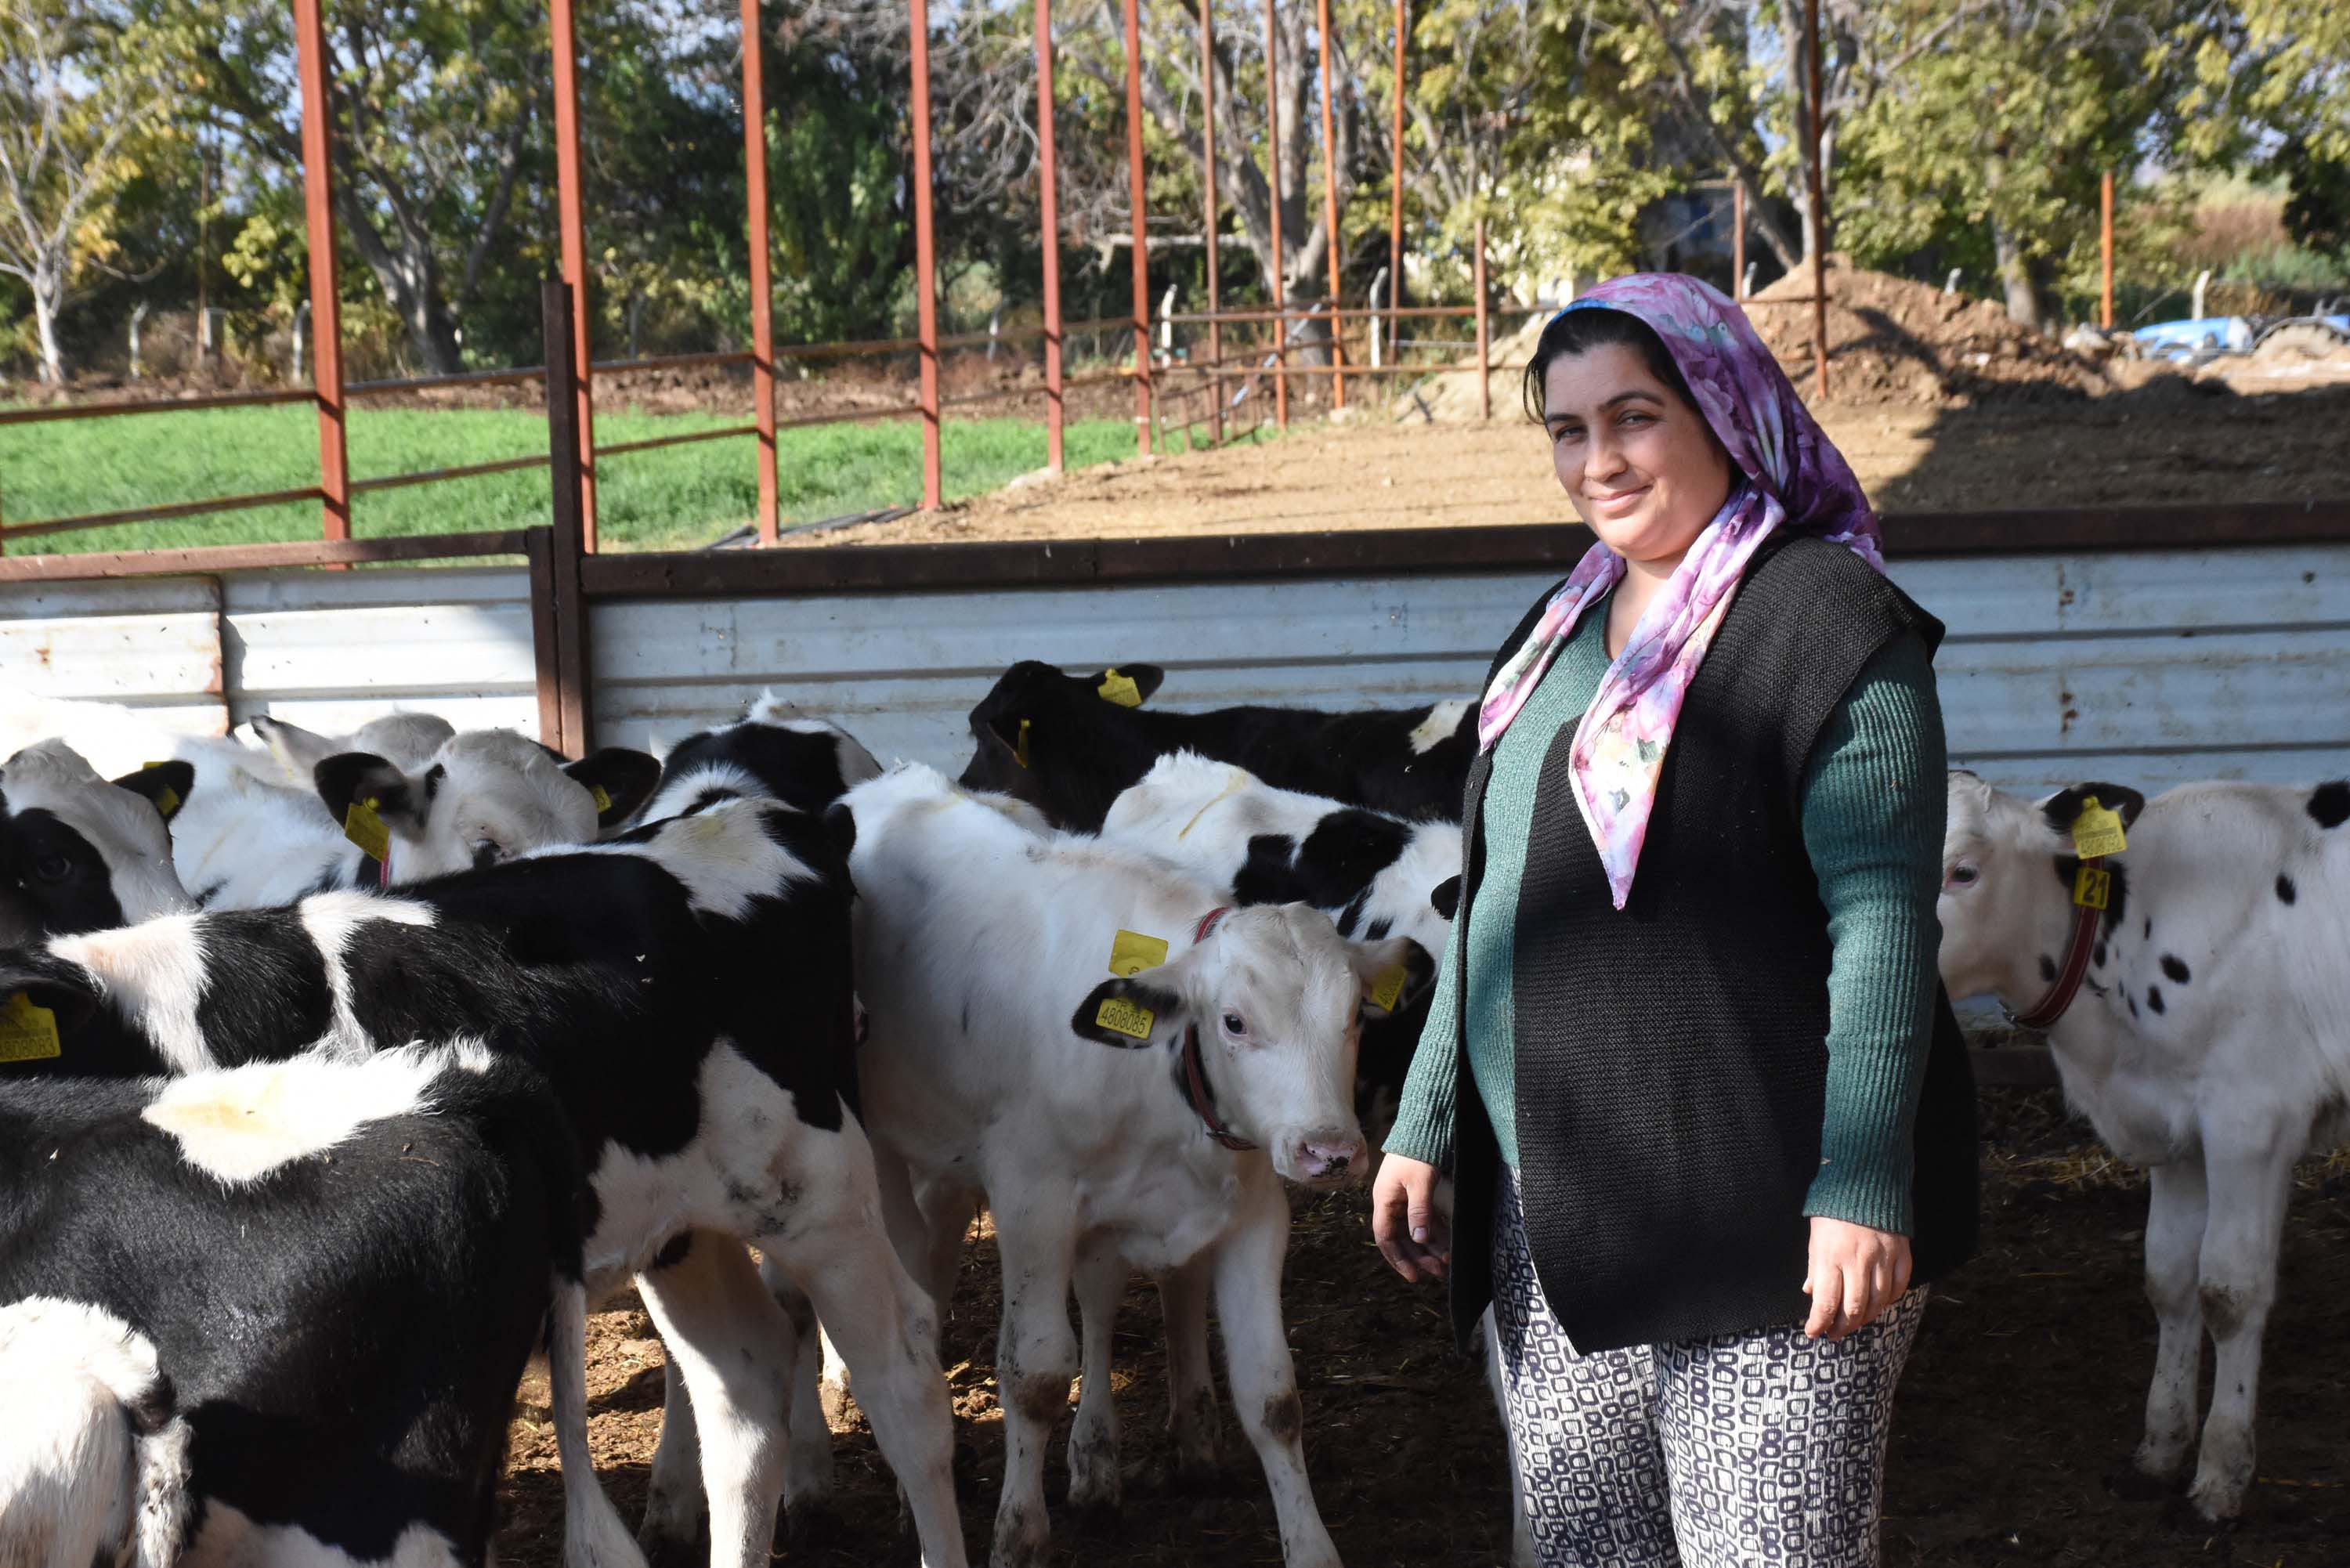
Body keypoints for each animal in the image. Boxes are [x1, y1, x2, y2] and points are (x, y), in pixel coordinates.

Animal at [846, 761, 1429, 1568]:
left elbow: (1272, 1393)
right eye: (1234, 1021)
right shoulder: (1032, 1201)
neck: (1161, 1073)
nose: (1329, 1152)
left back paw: (1096, 1461)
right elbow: (1033, 1373)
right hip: (892, 1149)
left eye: (1352, 1020)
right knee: (917, 1276)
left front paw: (1311, 1546)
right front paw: (1020, 1532)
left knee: (1093, 1295)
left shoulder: (1253, 1213)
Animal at [1936, 771, 2341, 1523]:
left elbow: (2230, 1291)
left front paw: (2220, 1475)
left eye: (1963, 871)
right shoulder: (2174, 1130)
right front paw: (2159, 1450)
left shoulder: (2252, 1117)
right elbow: (2169, 1280)